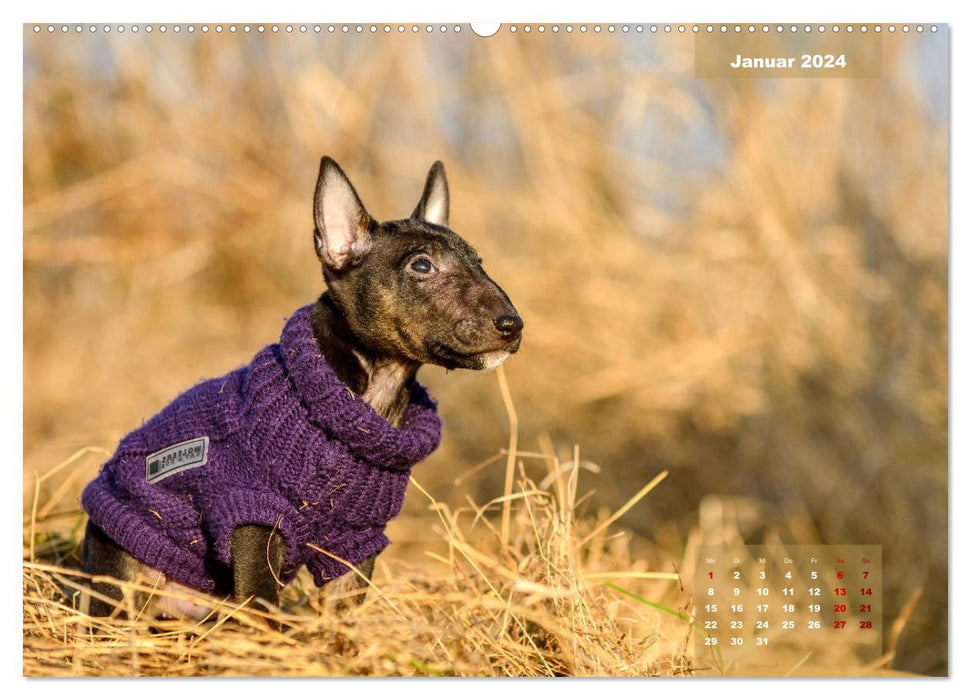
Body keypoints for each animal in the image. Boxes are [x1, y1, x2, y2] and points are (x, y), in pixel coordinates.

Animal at [79, 156, 524, 620]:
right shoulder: (253, 516)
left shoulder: (357, 541)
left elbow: (345, 612)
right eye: (422, 266)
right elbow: (263, 603)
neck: (370, 396)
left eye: (480, 262)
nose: (513, 325)